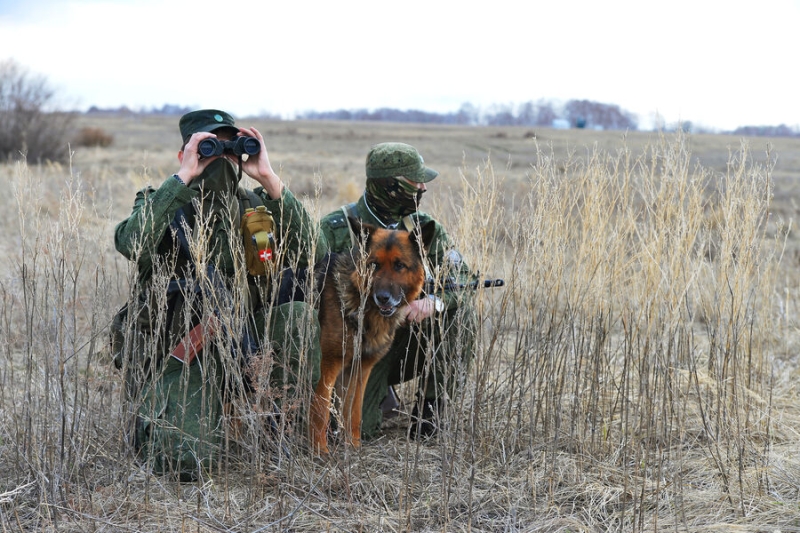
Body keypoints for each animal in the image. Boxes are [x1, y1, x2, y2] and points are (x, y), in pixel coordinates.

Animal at [310, 216, 438, 454]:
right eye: (373, 265)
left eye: (399, 265)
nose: (383, 298)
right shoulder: (327, 365)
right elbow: (320, 410)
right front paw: (319, 450)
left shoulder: (359, 369)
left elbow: (353, 412)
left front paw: (353, 446)